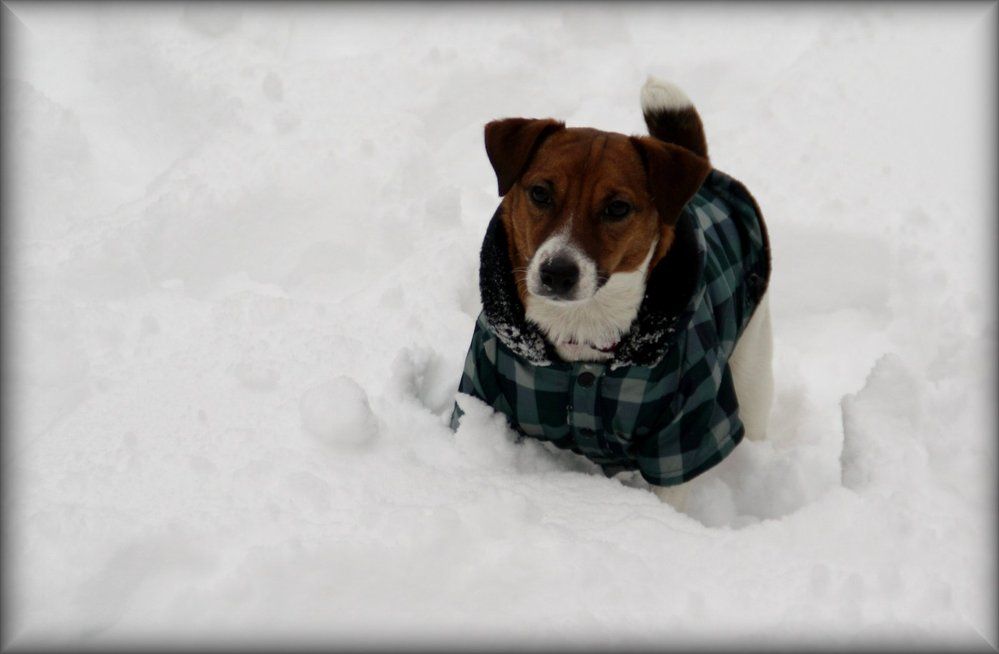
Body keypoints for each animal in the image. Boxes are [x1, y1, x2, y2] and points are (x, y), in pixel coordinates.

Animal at [454, 77, 772, 512]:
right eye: (540, 193)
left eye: (617, 208)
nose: (557, 272)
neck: (582, 331)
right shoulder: (483, 389)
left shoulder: (687, 428)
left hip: (752, 370)